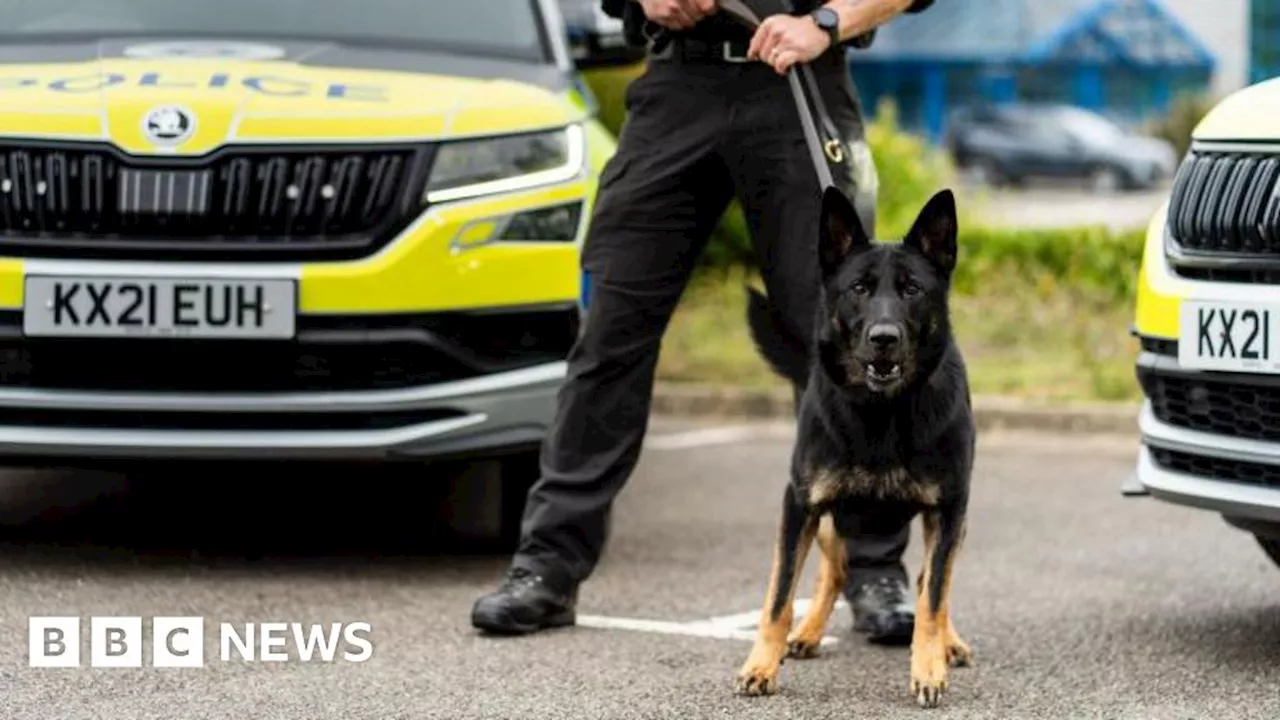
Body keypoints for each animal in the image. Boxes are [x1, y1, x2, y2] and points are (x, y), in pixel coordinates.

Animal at [737, 184, 972, 707]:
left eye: (912, 289)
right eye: (858, 289)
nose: (883, 338)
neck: (881, 411)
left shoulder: (947, 510)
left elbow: (933, 598)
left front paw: (928, 669)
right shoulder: (799, 505)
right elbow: (778, 597)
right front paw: (760, 664)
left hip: (953, 523)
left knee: (933, 581)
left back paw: (949, 643)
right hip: (829, 520)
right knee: (837, 571)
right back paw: (807, 633)